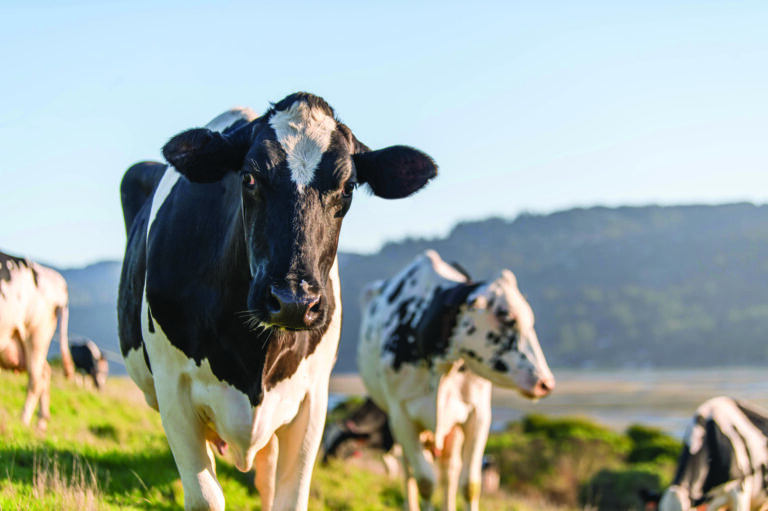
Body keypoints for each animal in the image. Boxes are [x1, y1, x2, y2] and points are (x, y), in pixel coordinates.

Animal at [116, 92, 436, 511]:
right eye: (248, 176)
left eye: (348, 186)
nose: (292, 301)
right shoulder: (173, 390)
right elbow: (205, 498)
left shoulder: (312, 399)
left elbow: (289, 497)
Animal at [356, 250, 556, 511]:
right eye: (507, 317)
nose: (546, 383)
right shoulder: (401, 414)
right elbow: (425, 481)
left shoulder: (478, 413)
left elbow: (470, 484)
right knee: (409, 470)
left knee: (449, 471)